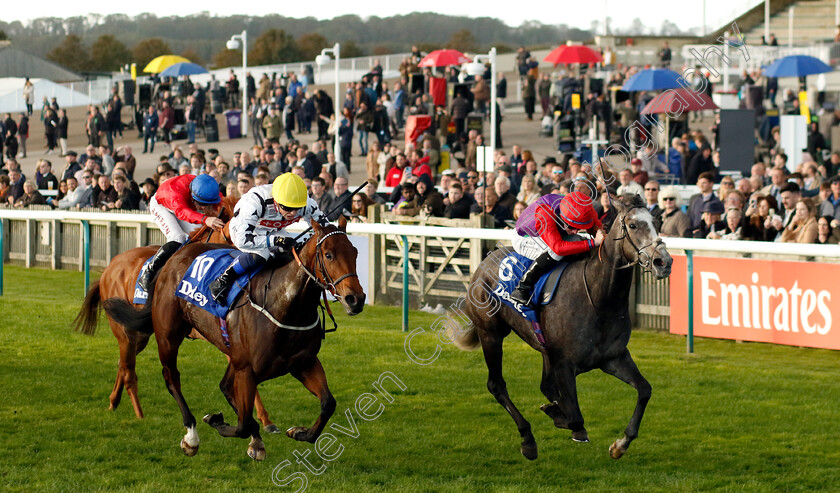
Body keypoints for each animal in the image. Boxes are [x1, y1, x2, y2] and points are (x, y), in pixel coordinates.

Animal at [101, 217, 364, 460]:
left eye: (355, 252)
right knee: (170, 377)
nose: (356, 299)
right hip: (167, 335)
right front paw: (215, 420)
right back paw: (190, 435)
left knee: (224, 385)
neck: (284, 304)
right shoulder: (246, 369)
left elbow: (328, 404)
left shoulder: (303, 363)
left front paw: (298, 432)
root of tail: (177, 253)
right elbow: (242, 424)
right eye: (328, 255)